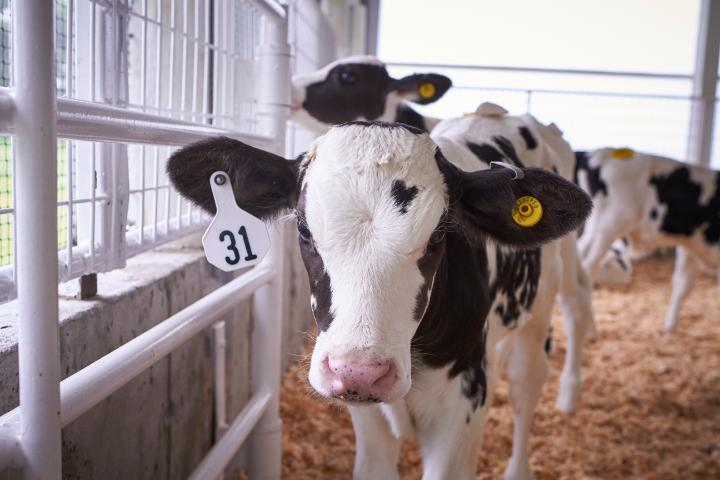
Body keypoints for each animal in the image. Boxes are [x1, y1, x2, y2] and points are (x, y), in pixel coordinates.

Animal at [168, 121, 592, 479]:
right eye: (303, 229)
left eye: (439, 236)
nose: (359, 372)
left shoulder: (465, 399)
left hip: (540, 310)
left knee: (528, 383)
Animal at [576, 147, 720, 333]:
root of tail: (596, 153)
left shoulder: (690, 247)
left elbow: (682, 285)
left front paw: (669, 328)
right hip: (608, 225)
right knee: (586, 267)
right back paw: (590, 328)